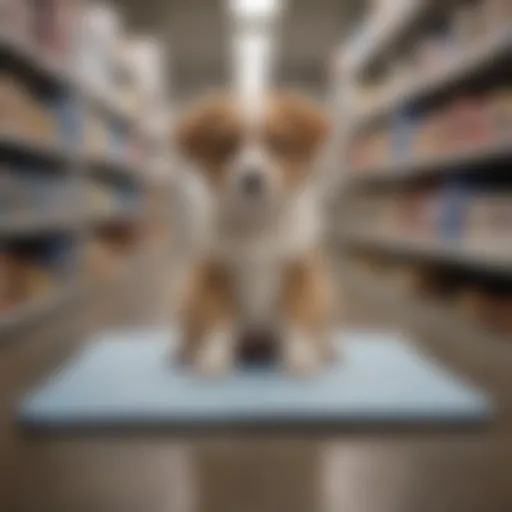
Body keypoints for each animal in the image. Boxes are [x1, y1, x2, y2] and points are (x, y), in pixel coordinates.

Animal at [176, 91, 336, 376]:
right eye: (226, 146)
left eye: (280, 144)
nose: (252, 179)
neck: (257, 222)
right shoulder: (213, 274)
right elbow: (216, 320)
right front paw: (213, 359)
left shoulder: (301, 272)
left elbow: (299, 319)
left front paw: (301, 358)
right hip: (187, 290)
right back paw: (186, 352)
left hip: (324, 291)